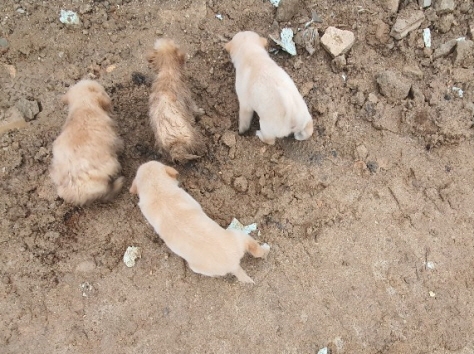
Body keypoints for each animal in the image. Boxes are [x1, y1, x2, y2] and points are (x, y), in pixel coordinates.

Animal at [130, 162, 270, 284]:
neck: (156, 188)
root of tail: (234, 264)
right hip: (237, 238)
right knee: (256, 250)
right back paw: (266, 249)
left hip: (239, 237)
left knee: (257, 251)